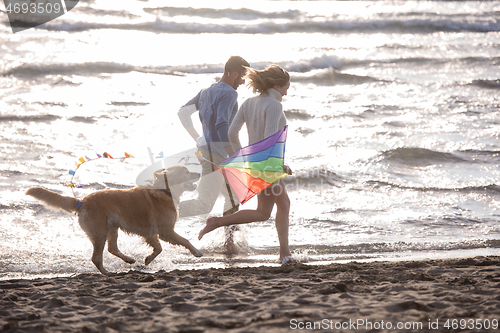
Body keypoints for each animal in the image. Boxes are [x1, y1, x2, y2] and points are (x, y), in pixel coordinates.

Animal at [25, 166, 201, 274]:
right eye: (186, 171)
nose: (199, 173)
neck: (165, 190)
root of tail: (82, 201)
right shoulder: (166, 231)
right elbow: (184, 240)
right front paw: (196, 251)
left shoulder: (150, 234)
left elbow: (158, 249)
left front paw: (148, 259)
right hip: (100, 232)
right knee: (97, 257)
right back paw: (107, 273)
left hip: (112, 228)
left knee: (112, 248)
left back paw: (128, 260)